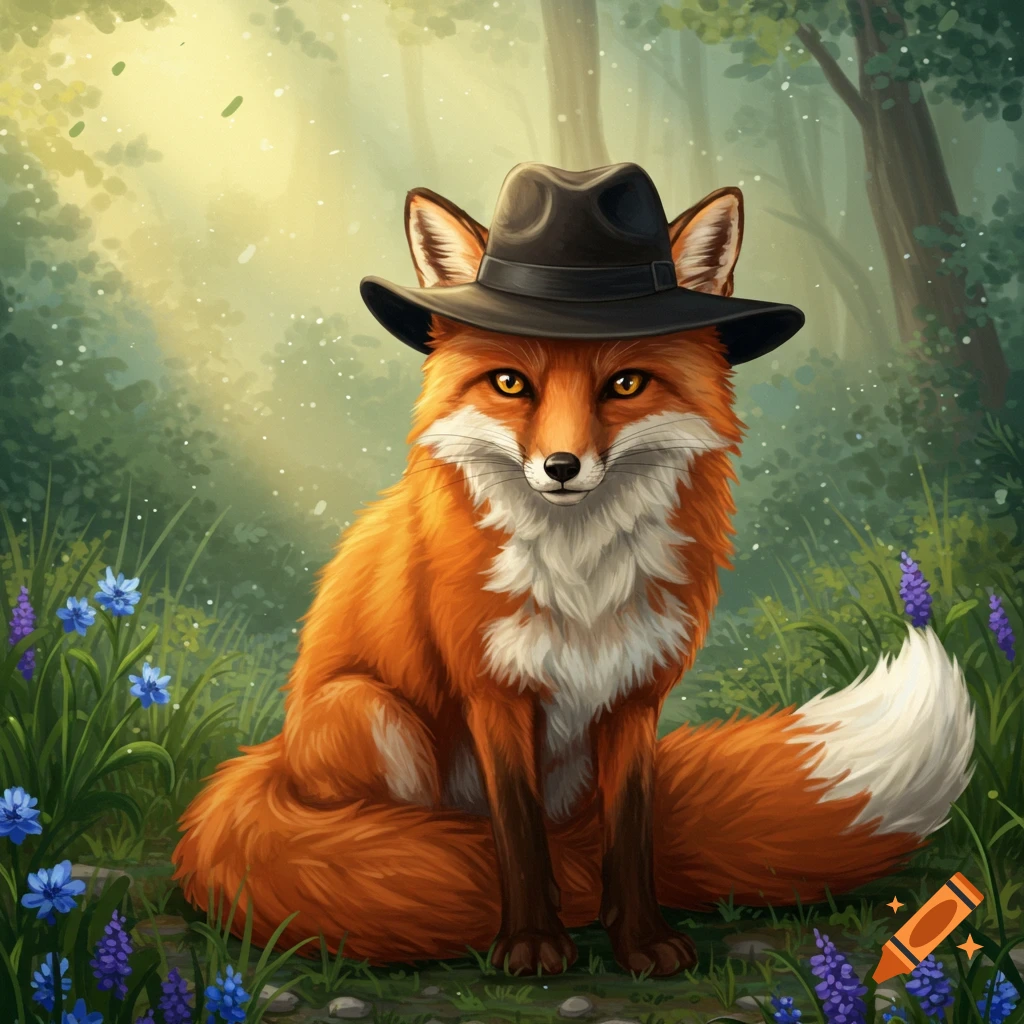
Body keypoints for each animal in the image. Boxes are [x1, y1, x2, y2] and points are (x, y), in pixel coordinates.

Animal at [173, 170, 975, 978]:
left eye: (624, 384)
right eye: (509, 383)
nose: (561, 466)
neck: (579, 574)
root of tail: (270, 757)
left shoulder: (635, 693)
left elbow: (629, 831)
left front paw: (642, 941)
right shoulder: (494, 691)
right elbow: (519, 834)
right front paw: (530, 942)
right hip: (371, 711)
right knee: (426, 832)